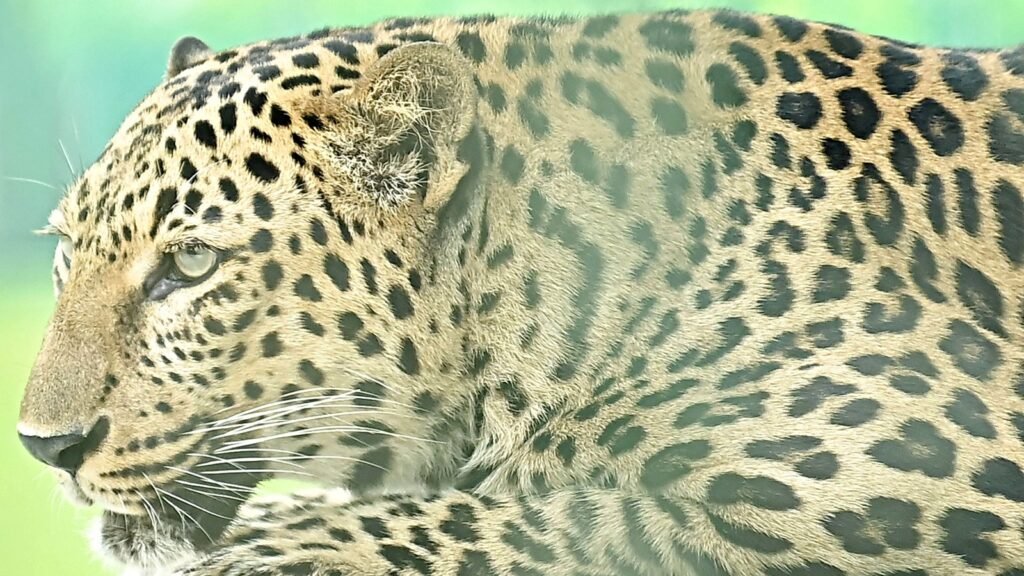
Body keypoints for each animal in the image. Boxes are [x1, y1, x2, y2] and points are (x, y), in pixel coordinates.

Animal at [15, 7, 1024, 576]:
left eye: (190, 266)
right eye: (67, 254)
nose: (45, 448)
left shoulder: (934, 485)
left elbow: (588, 517)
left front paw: (289, 539)